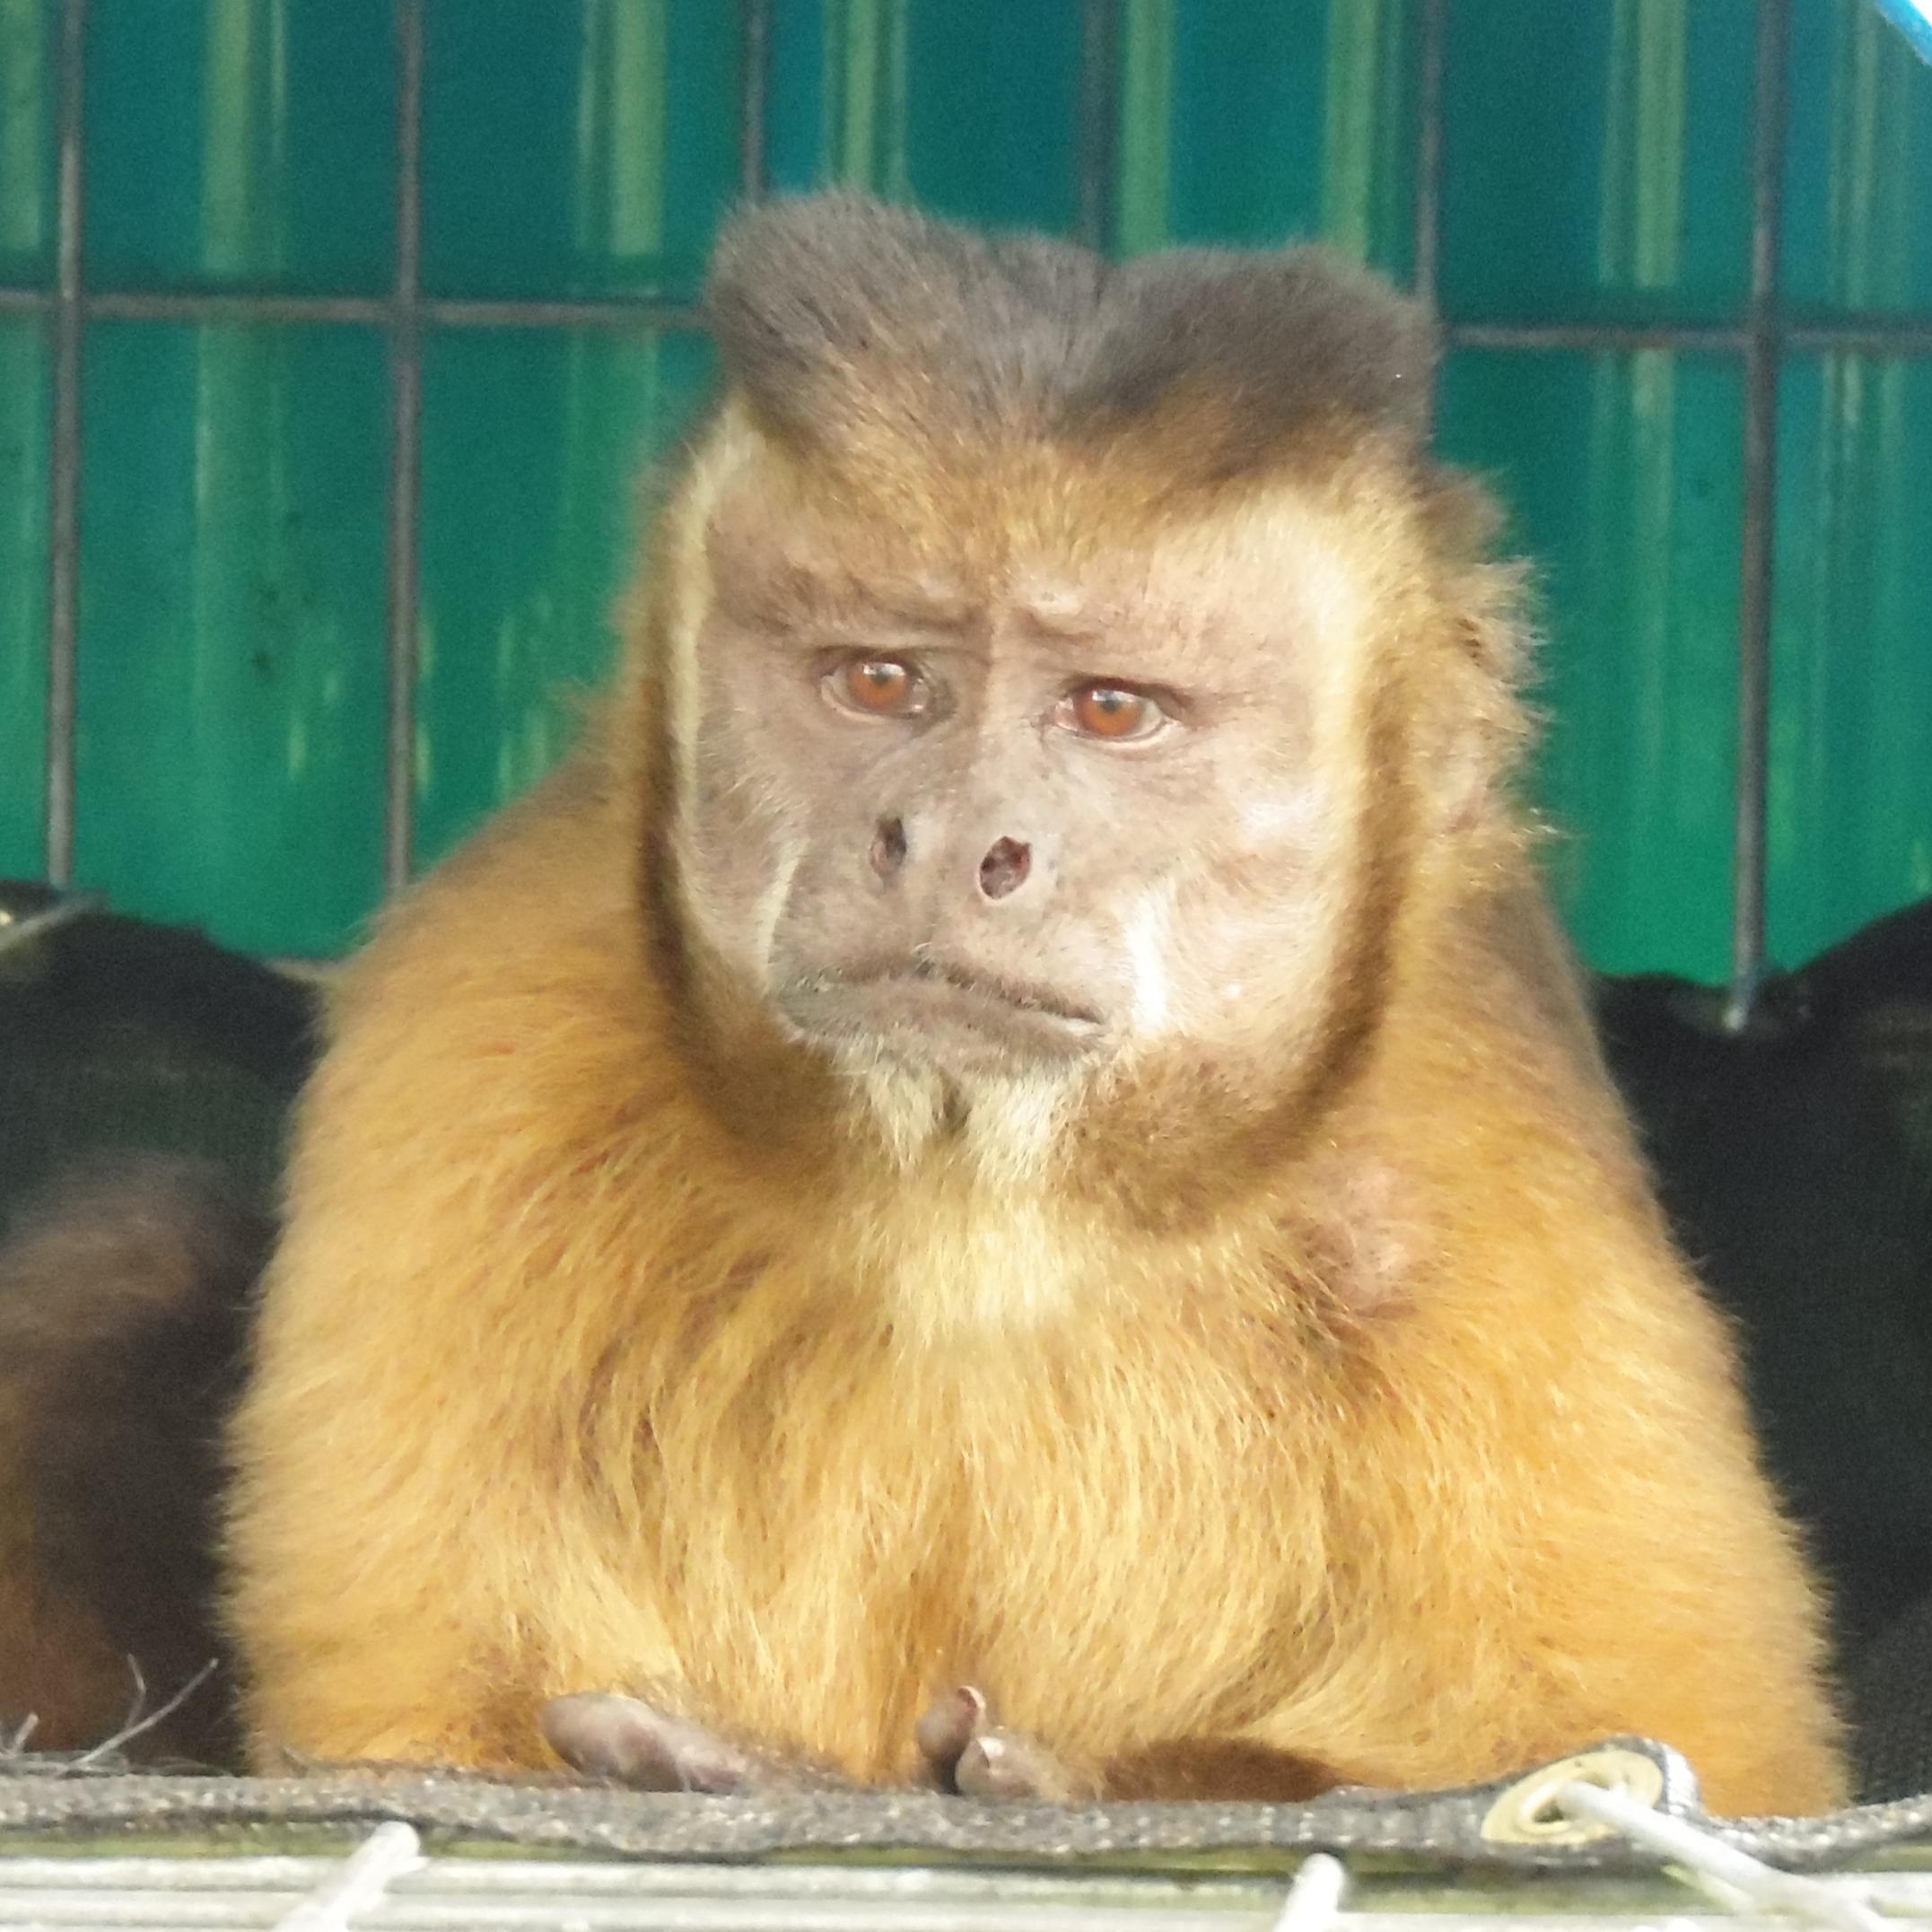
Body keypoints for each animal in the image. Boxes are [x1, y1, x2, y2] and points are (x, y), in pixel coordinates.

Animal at [220, 192, 1845, 1815]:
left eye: (1110, 710)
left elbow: (1658, 1748)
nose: (950, 838)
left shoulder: (1487, 1152)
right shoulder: (480, 1019)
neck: (974, 1211)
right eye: (879, 681)